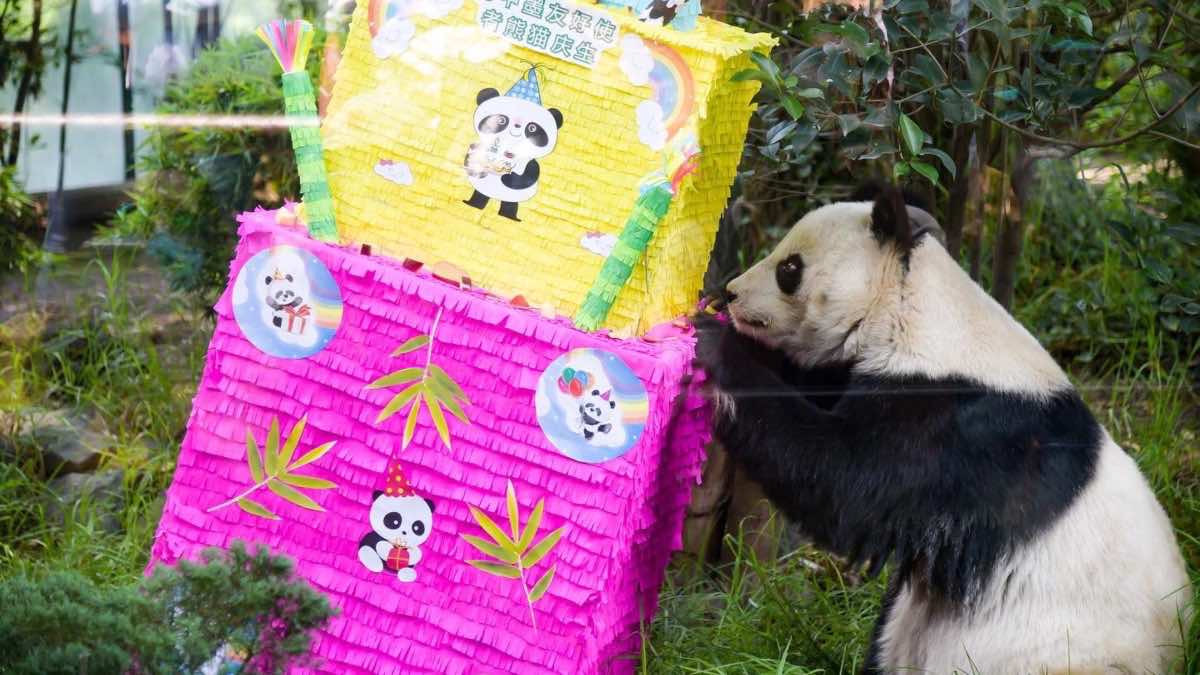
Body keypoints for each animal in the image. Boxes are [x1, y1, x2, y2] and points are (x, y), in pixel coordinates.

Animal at [462, 75, 563, 222]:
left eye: (532, 128)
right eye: (501, 120)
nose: (517, 124)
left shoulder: (529, 163)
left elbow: (530, 175)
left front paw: (508, 178)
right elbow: (471, 158)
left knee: (510, 204)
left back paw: (510, 217)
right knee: (480, 195)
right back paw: (473, 204)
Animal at [694, 183, 1191, 674]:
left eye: (789, 268)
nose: (730, 293)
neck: (913, 311)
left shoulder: (957, 432)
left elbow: (843, 481)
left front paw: (713, 344)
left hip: (1062, 656)